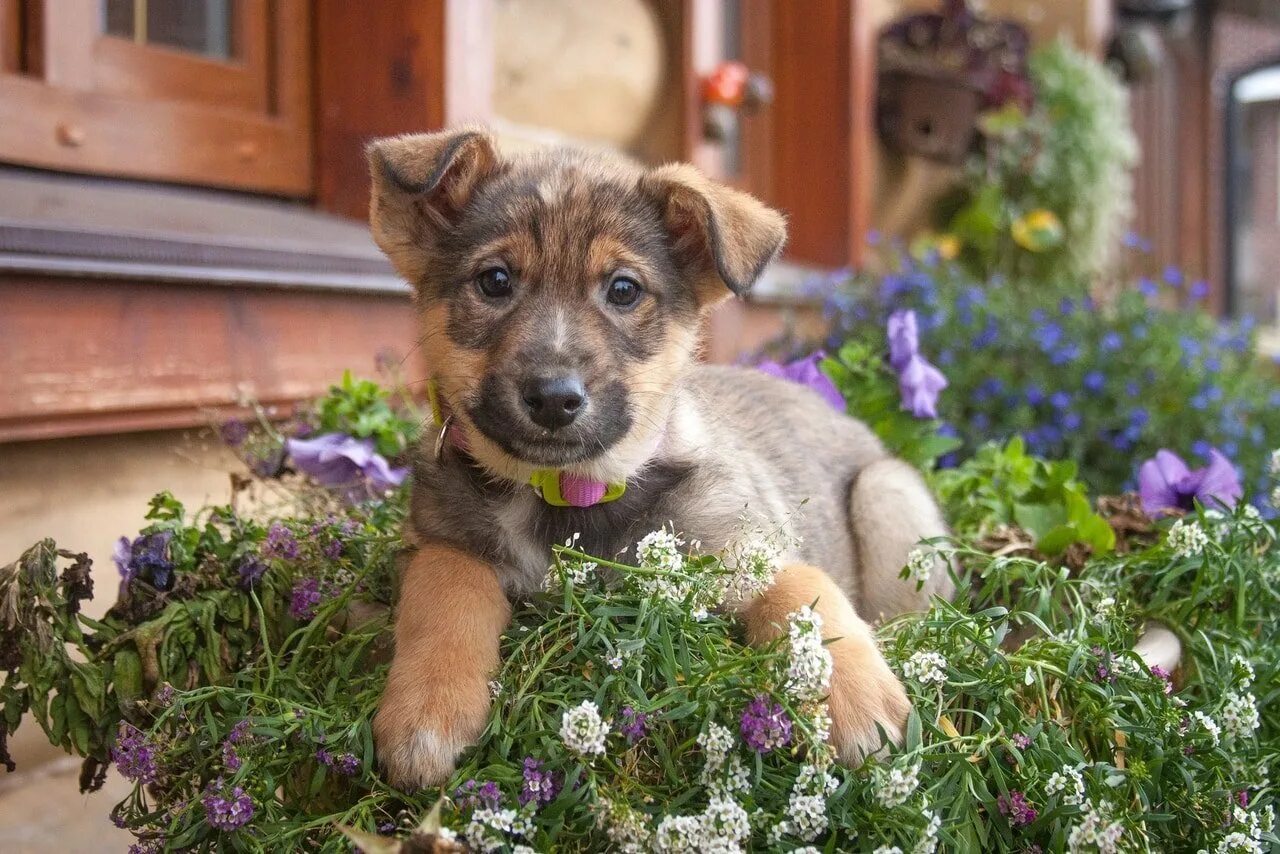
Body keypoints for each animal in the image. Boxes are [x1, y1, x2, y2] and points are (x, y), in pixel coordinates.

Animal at [360, 130, 952, 793]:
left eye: (623, 290)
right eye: (494, 280)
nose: (554, 399)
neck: (565, 499)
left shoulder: (746, 548)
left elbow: (807, 600)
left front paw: (855, 699)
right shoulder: (438, 539)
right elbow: (444, 588)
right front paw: (426, 710)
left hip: (888, 492)